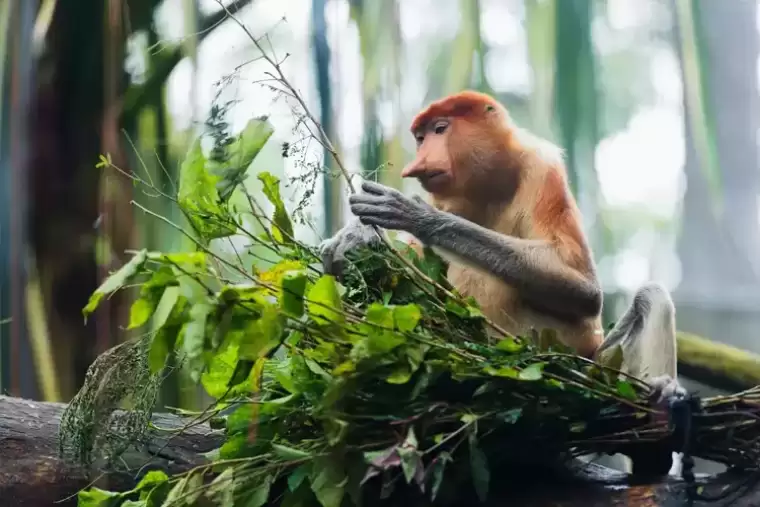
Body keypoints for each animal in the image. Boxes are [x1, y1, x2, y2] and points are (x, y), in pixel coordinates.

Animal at [318, 90, 684, 416]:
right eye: (421, 138)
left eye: (441, 129)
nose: (419, 162)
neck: (490, 187)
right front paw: (356, 241)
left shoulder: (542, 170)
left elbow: (586, 290)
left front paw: (414, 214)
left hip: (596, 368)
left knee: (650, 297)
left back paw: (664, 390)